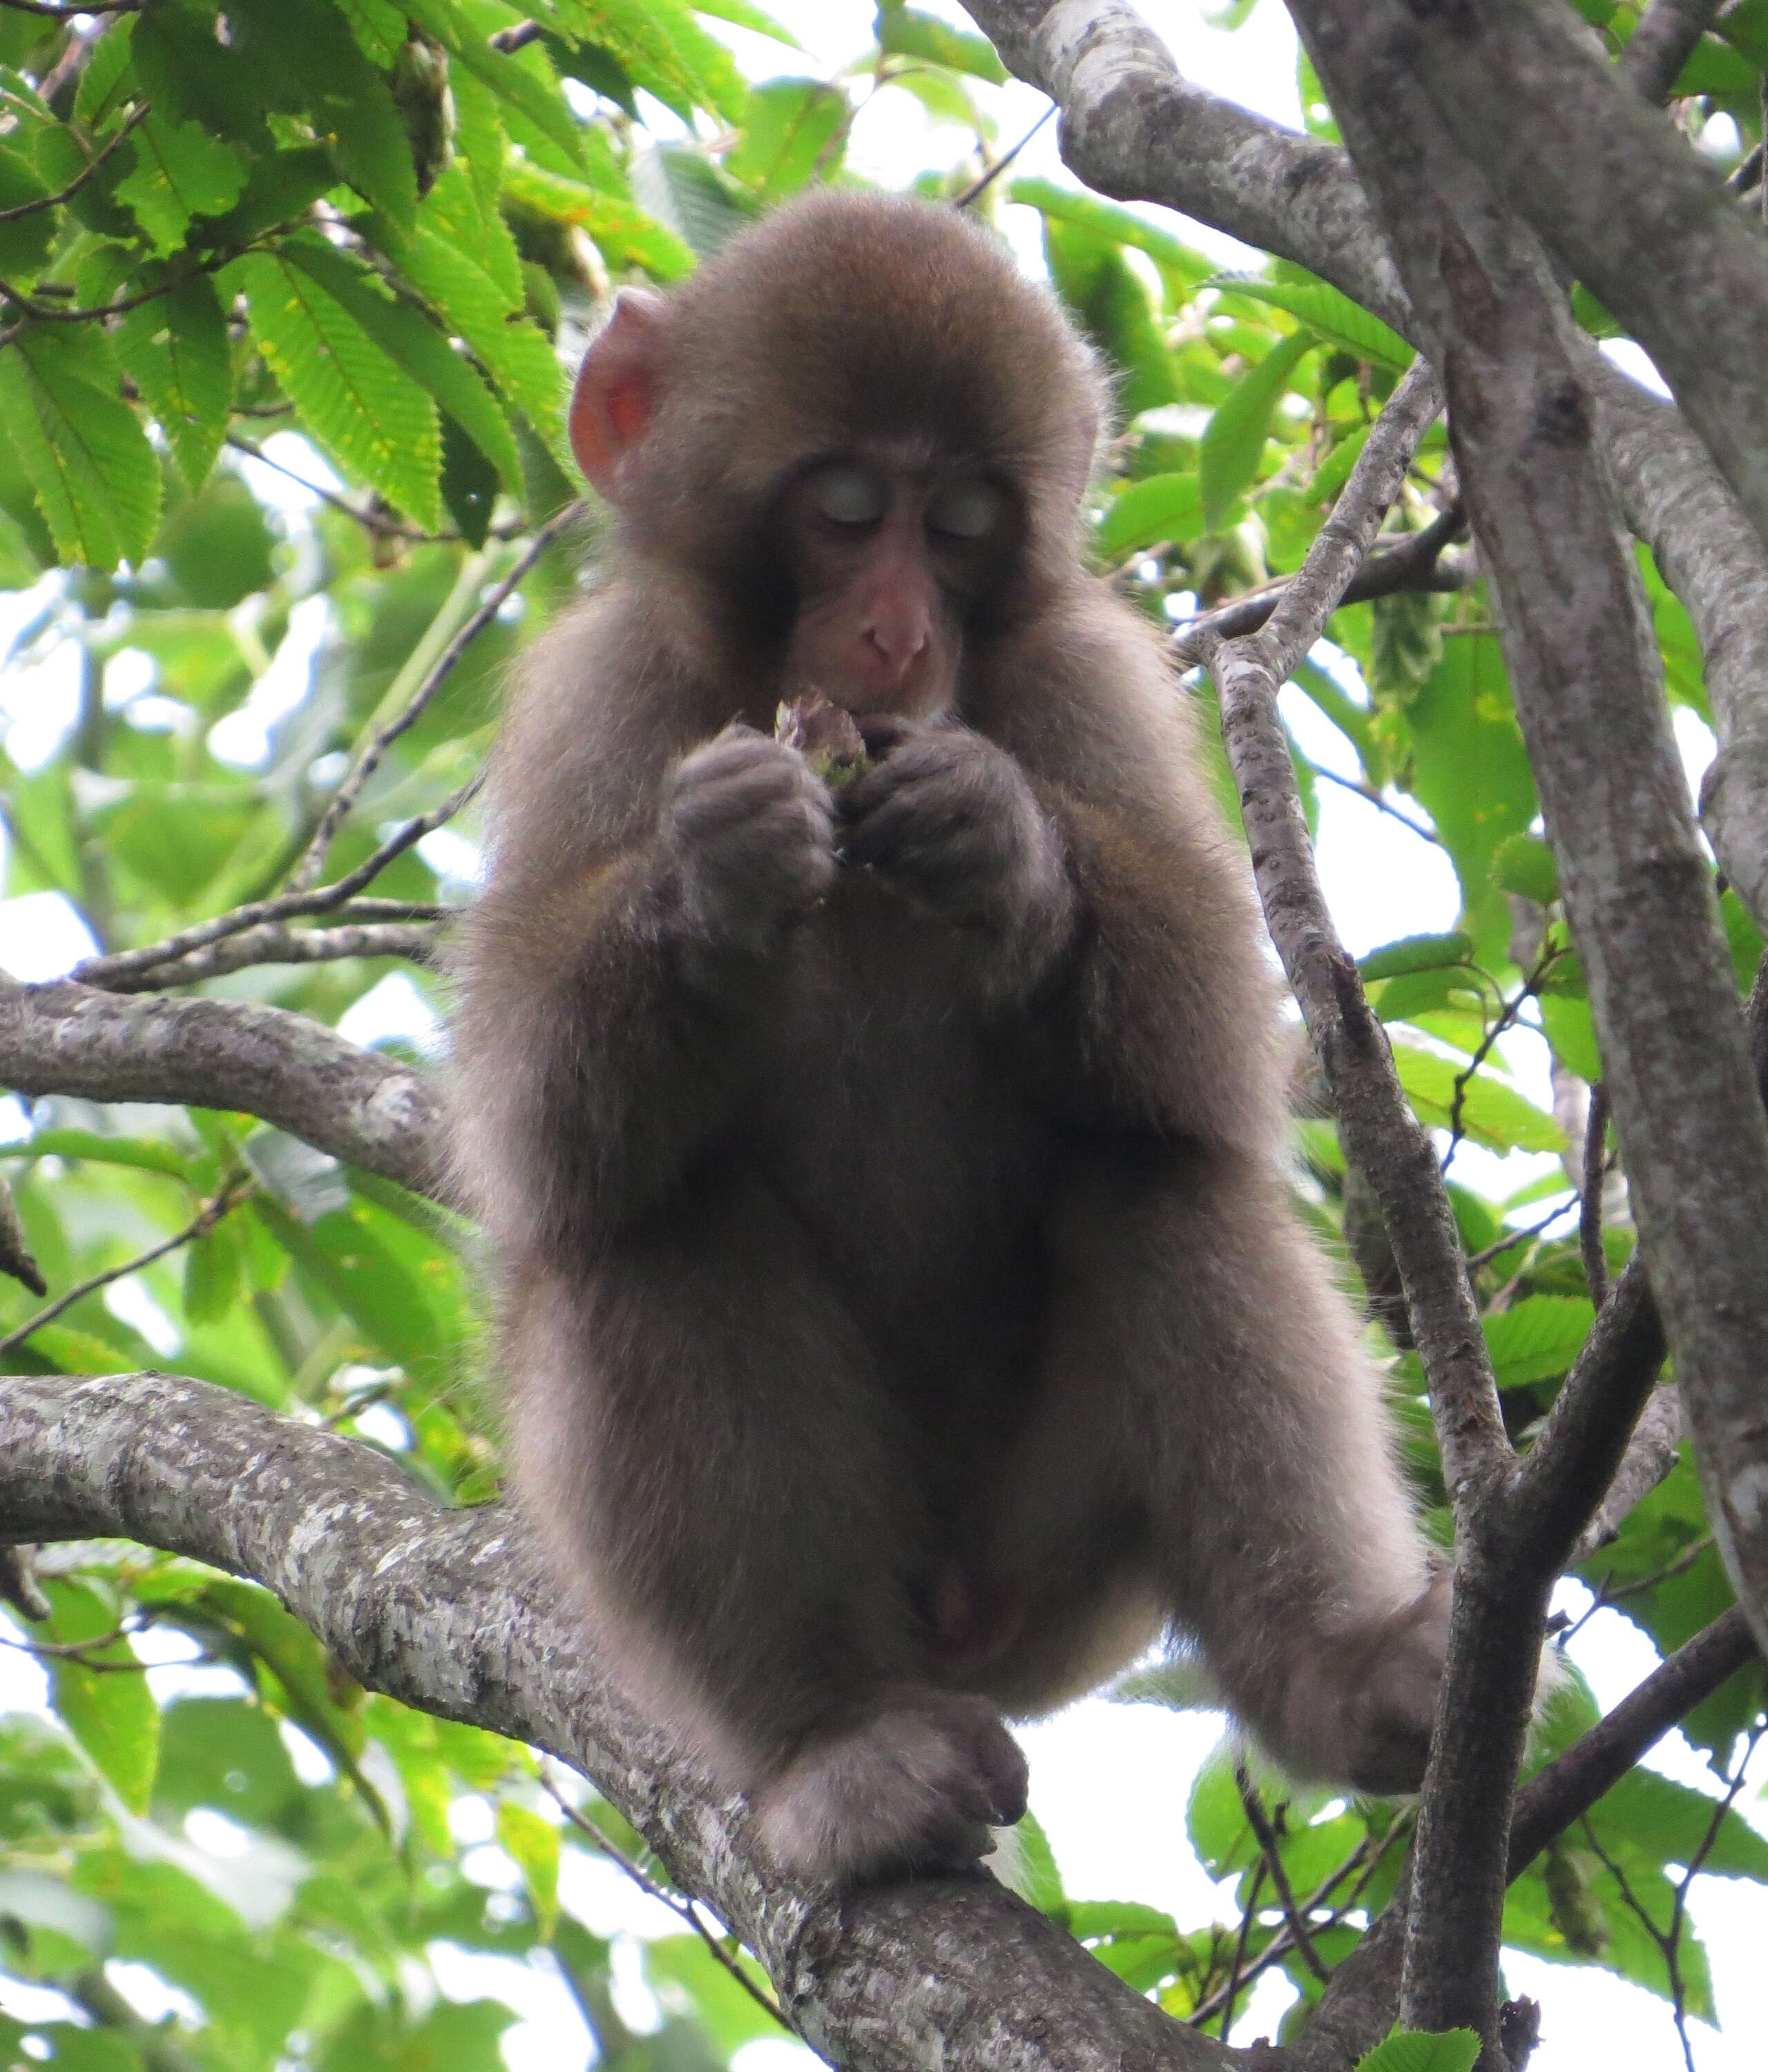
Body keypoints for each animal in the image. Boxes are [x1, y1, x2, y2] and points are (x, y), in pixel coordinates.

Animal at [452, 195, 1450, 1898]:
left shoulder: (1082, 674)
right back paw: (837, 1747)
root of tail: (965, 1634)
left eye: (969, 522)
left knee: (1155, 1175)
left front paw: (1005, 847)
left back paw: (1345, 1671)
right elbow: (539, 1123)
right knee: (656, 1222)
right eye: (848, 507)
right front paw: (712, 873)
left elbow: (1213, 1035)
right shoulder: (607, 695)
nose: (900, 630)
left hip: (1068, 1576)